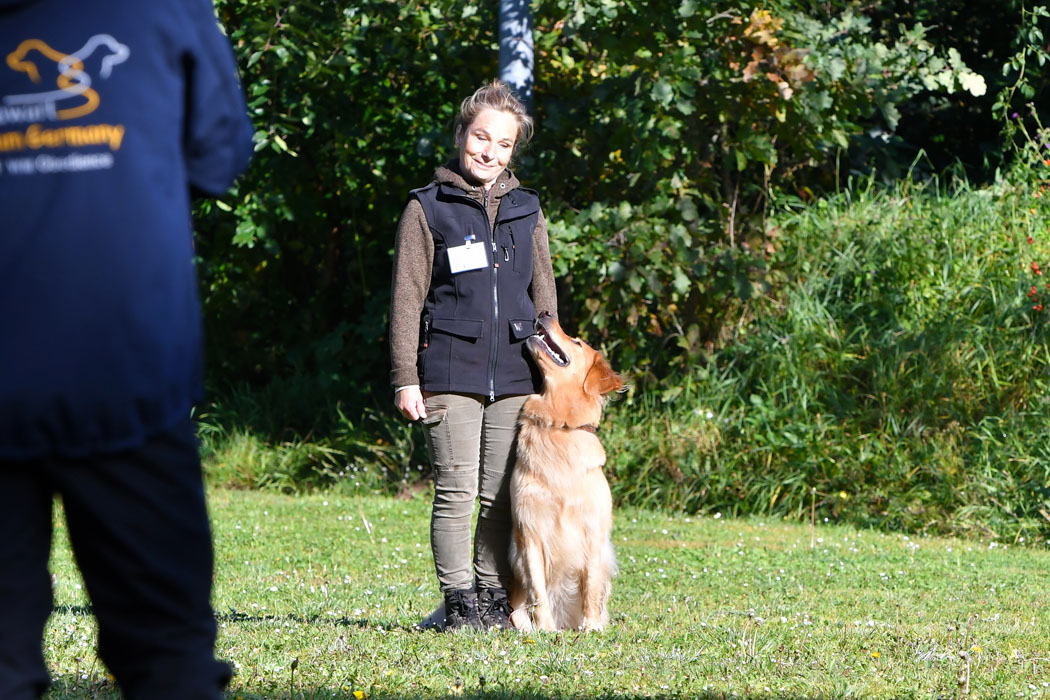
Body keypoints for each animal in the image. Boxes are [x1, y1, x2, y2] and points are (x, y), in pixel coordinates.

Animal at [508, 312, 621, 633]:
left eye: (577, 342)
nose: (545, 312)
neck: (559, 425)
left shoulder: (593, 532)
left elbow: (592, 587)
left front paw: (591, 627)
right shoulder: (528, 531)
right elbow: (538, 590)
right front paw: (545, 629)